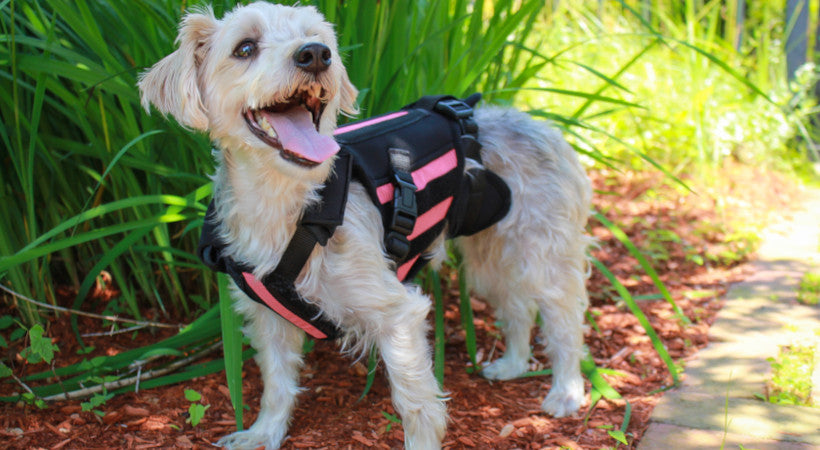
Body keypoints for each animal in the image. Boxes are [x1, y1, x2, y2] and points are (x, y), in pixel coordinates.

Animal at [138, 1, 592, 448]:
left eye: (317, 38)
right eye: (244, 48)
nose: (315, 54)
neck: (294, 206)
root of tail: (542, 126)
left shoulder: (398, 313)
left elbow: (416, 404)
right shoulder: (269, 319)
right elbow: (277, 383)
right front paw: (263, 434)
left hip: (541, 253)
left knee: (564, 322)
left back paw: (566, 391)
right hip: (490, 255)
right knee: (517, 307)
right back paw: (513, 364)